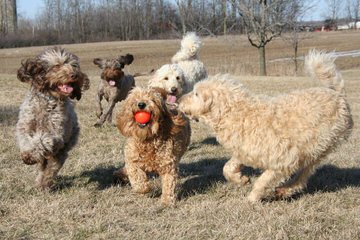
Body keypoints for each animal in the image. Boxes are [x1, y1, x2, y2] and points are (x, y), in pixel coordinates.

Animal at [16, 47, 90, 189]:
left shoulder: (56, 133)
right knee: (43, 165)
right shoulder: (25, 126)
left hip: (64, 147)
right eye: (57, 66)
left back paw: (45, 183)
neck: (48, 100)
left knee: (53, 166)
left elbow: (42, 140)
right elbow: (26, 140)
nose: (74, 75)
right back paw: (40, 181)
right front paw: (27, 156)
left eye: (74, 66)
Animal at [179, 50, 352, 202]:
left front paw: (252, 198)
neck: (237, 113)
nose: (179, 99)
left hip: (318, 147)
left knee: (303, 175)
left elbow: (263, 180)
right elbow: (227, 168)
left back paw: (284, 189)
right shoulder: (245, 151)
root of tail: (338, 94)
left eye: (196, 93)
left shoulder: (285, 160)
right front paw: (241, 179)